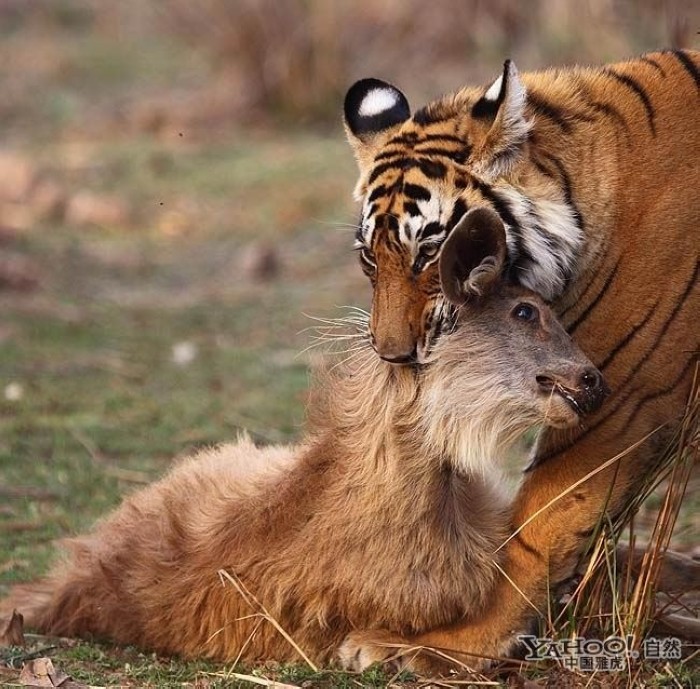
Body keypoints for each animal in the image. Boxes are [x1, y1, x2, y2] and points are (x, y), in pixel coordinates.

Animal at [336, 49, 696, 672]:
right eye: (368, 258)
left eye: (428, 252)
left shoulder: (620, 401)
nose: (392, 355)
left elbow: (534, 531)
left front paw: (442, 643)